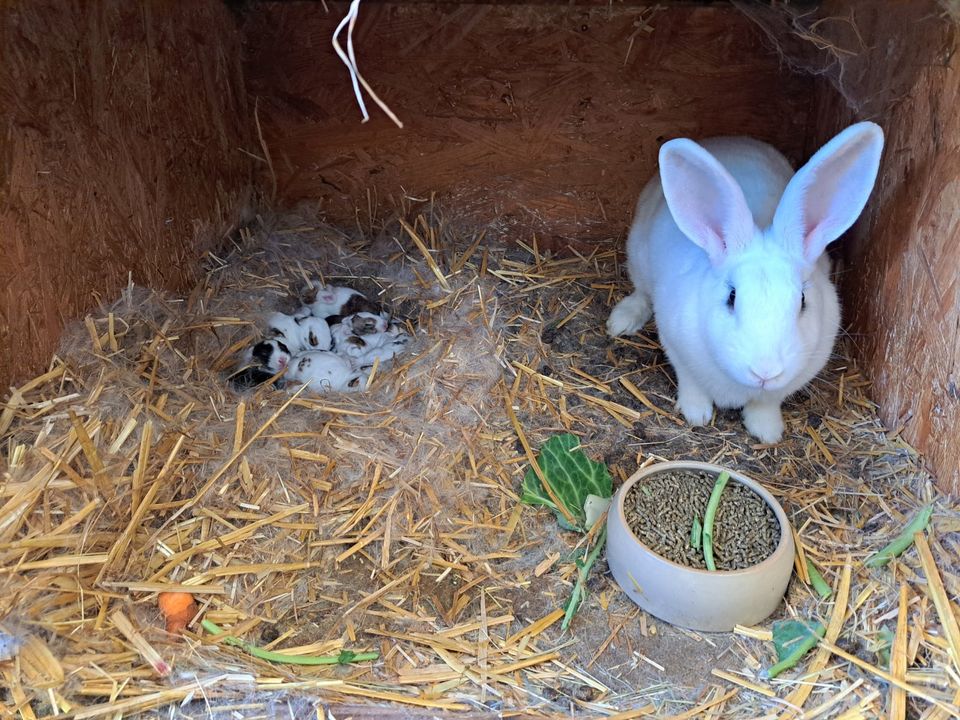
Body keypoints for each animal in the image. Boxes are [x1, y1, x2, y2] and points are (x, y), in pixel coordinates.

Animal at [608, 121, 884, 442]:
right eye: (732, 297)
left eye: (802, 301)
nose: (765, 372)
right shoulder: (677, 347)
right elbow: (691, 383)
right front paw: (696, 414)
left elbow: (767, 402)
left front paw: (768, 432)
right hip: (638, 256)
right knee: (641, 291)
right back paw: (622, 320)